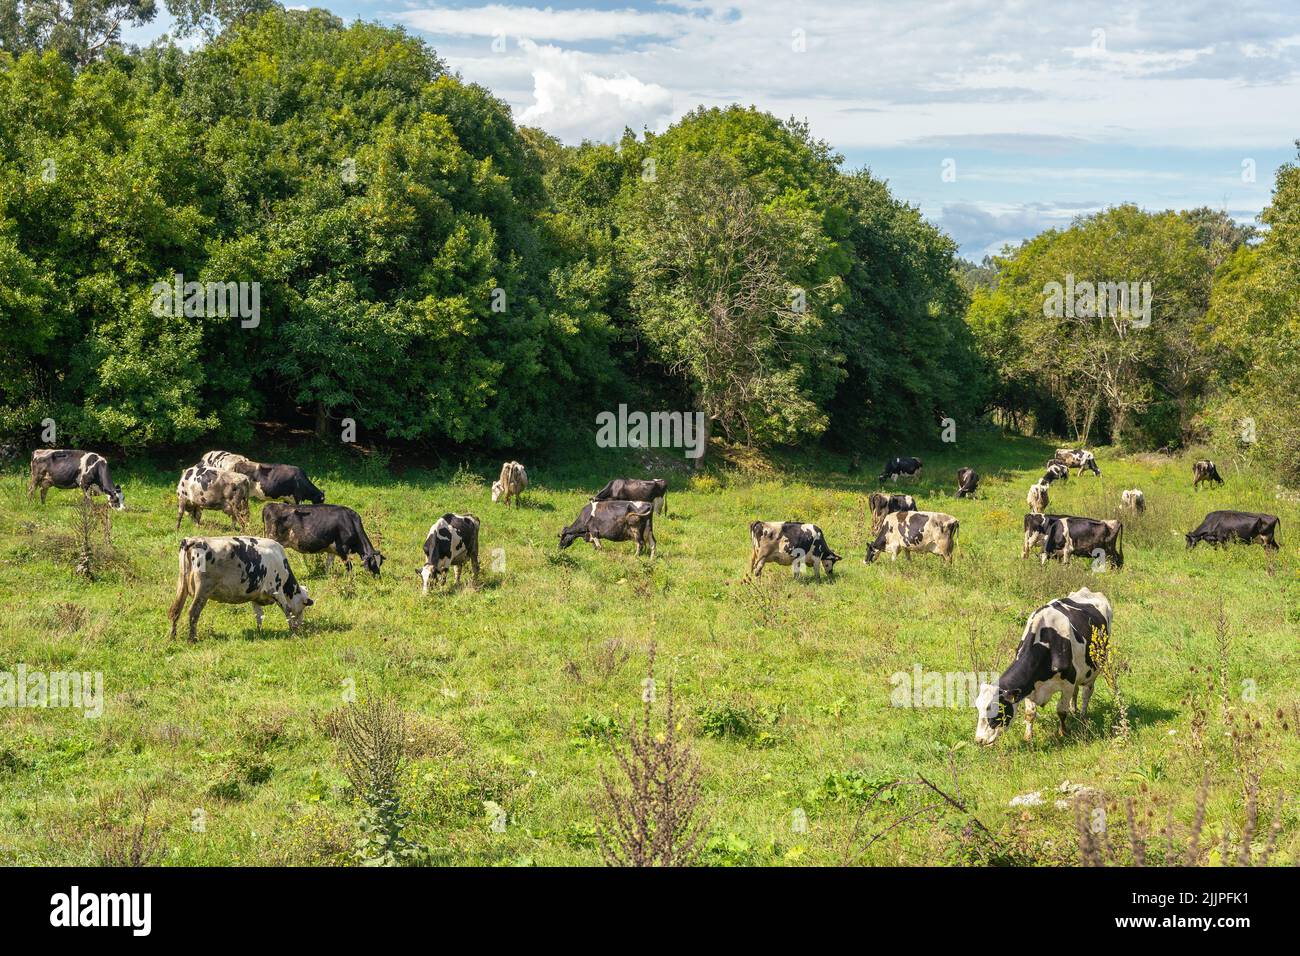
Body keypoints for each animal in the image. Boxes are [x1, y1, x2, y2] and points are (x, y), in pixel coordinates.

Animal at [167, 536, 313, 642]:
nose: (301, 627)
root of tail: (194, 540)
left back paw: (172, 637)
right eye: (303, 607)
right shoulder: (276, 590)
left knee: (175, 611)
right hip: (202, 591)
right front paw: (293, 631)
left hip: (182, 586)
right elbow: (287, 610)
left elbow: (259, 615)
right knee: (193, 612)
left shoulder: (255, 594)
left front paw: (260, 632)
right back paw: (192, 639)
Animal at [975, 587, 1112, 745]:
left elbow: (1061, 711)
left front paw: (1063, 733)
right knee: (1077, 691)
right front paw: (1028, 738)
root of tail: (1088, 591)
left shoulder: (1068, 683)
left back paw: (1083, 717)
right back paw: (1074, 709)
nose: (979, 739)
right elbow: (1030, 714)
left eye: (998, 709)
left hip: (1096, 668)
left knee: (1086, 693)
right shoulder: (1029, 685)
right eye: (978, 708)